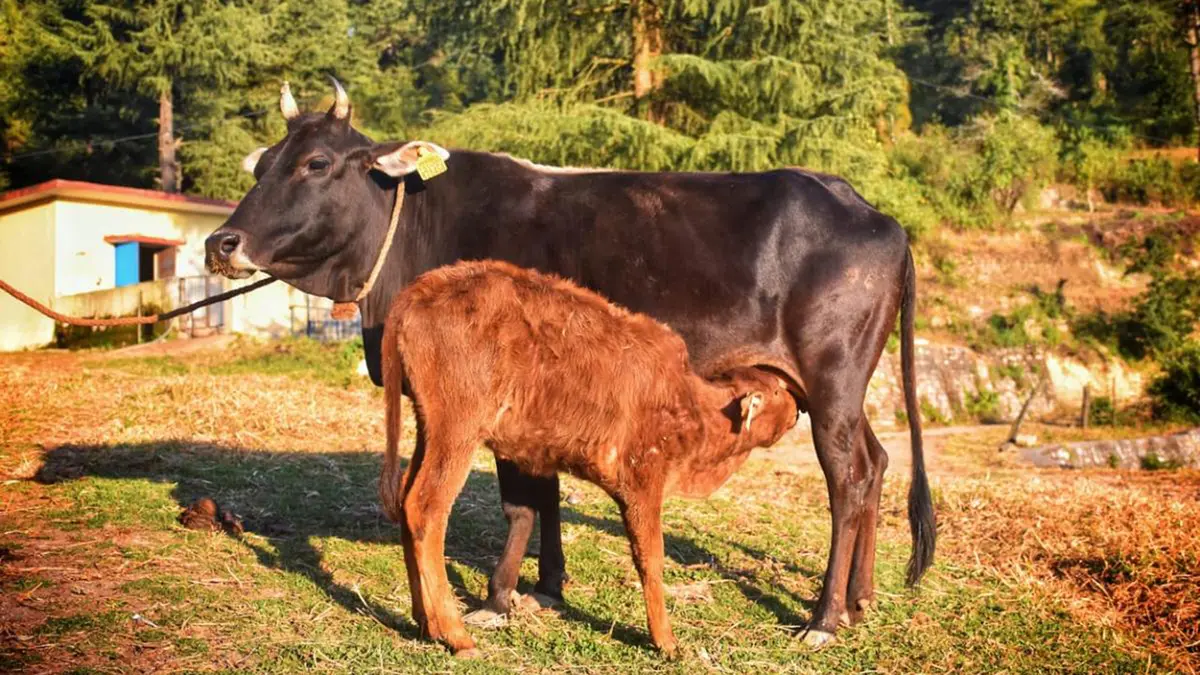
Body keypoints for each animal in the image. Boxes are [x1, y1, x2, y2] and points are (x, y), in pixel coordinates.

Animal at [378, 259, 799, 657]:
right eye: (778, 391)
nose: (797, 407)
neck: (695, 404)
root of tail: (424, 287)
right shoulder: (643, 486)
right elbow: (651, 560)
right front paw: (666, 642)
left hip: (430, 432)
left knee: (407, 500)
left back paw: (425, 622)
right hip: (457, 434)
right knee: (426, 508)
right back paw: (456, 635)